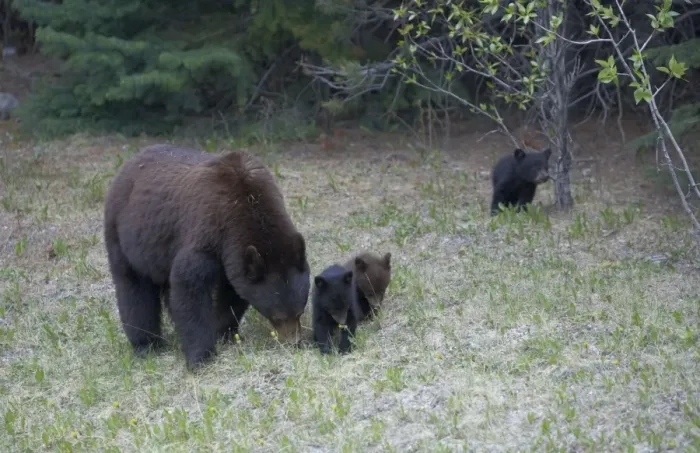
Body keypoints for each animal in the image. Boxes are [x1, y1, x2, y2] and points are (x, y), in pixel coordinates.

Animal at [103, 143, 310, 369]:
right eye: (277, 317)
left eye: (299, 312)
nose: (294, 342)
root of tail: (129, 162)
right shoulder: (207, 233)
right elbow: (190, 288)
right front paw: (202, 356)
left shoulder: (234, 257)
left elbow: (232, 292)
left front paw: (224, 332)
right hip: (124, 234)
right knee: (134, 288)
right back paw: (147, 343)